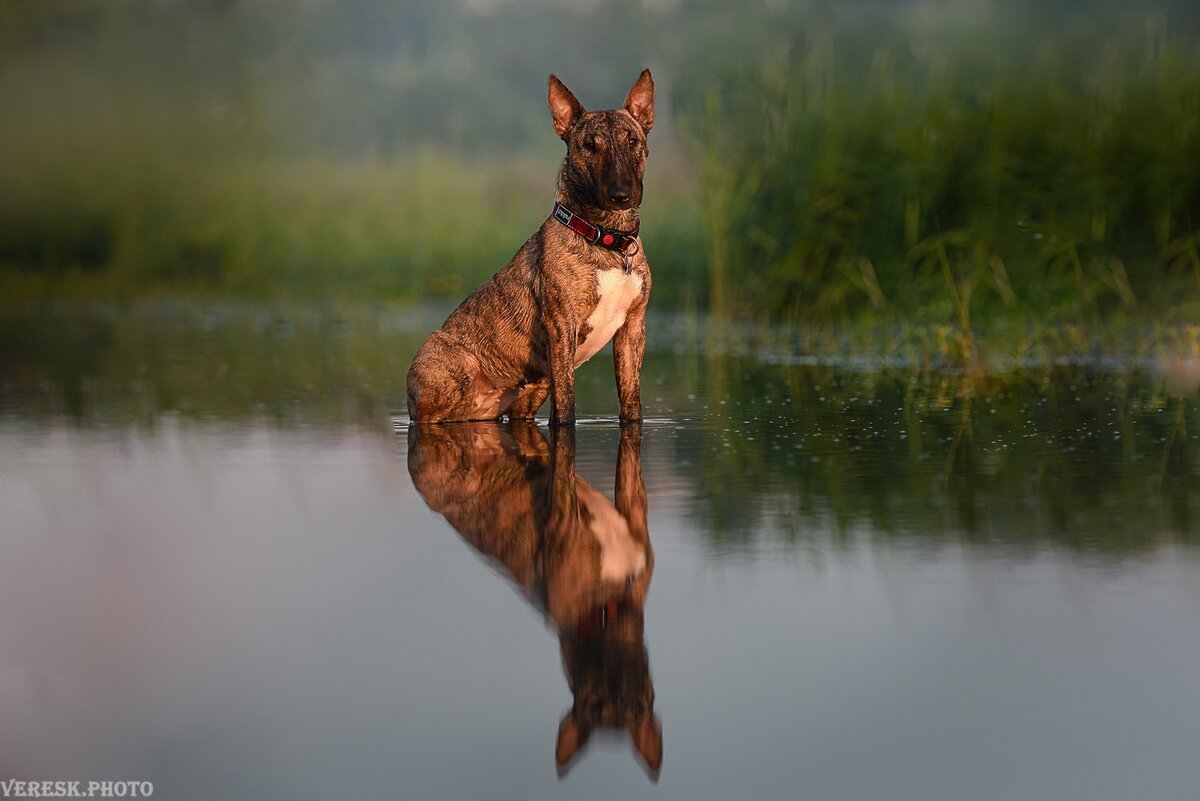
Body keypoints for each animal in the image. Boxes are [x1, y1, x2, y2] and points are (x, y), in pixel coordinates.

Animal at [405, 68, 657, 424]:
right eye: (589, 145)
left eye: (632, 140)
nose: (620, 195)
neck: (608, 239)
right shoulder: (562, 327)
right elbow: (566, 410)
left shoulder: (632, 329)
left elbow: (631, 403)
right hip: (453, 372)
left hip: (529, 394)